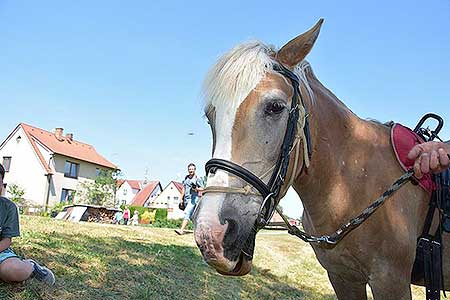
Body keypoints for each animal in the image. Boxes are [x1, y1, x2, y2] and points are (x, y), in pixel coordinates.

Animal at [192, 19, 450, 298]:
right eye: (210, 116)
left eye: (275, 107)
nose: (210, 234)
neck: (351, 183)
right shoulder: (343, 277)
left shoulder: (390, 281)